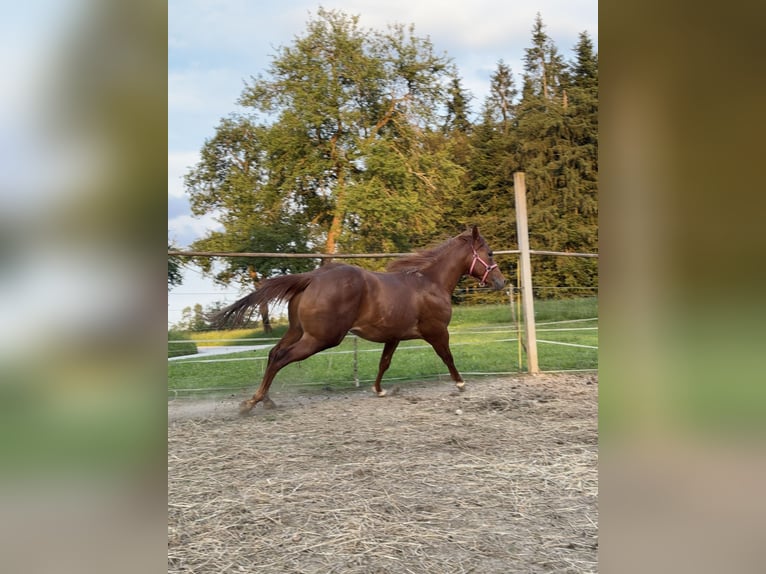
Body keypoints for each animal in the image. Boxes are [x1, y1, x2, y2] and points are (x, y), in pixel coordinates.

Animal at [213, 225, 508, 414]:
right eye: (490, 253)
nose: (501, 282)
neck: (431, 282)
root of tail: (313, 277)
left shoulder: (394, 336)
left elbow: (384, 363)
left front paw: (379, 390)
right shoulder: (437, 332)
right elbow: (448, 357)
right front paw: (460, 383)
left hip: (298, 331)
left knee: (274, 353)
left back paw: (264, 400)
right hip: (321, 338)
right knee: (281, 358)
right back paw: (253, 403)